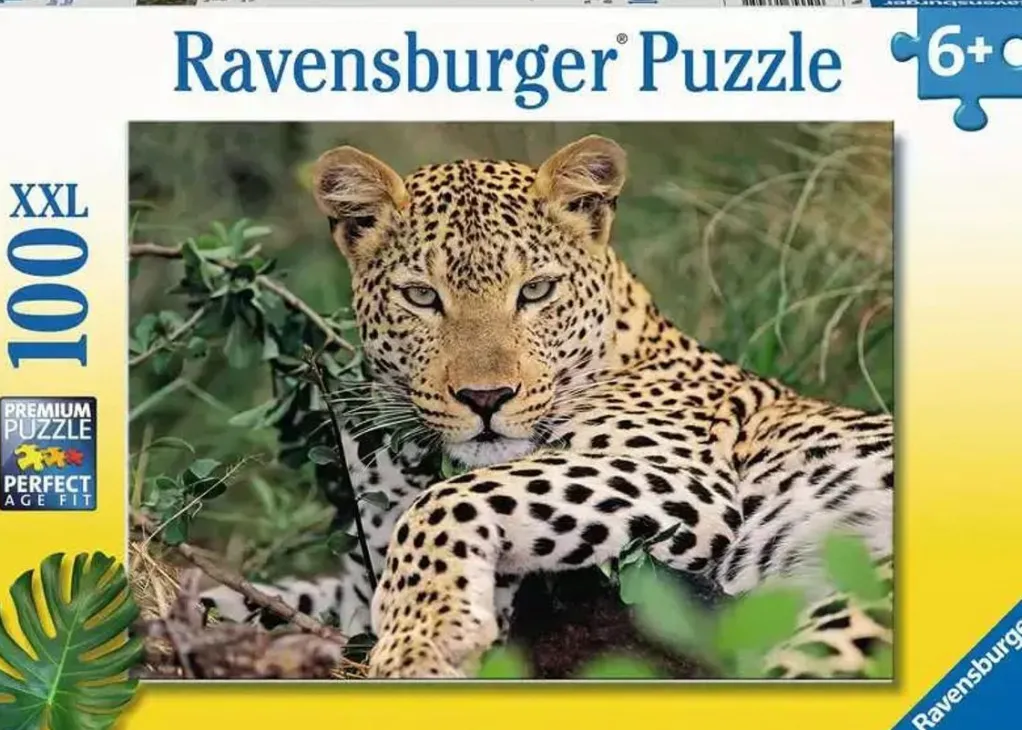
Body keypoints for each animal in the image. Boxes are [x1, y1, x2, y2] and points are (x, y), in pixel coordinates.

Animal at [200, 135, 893, 680]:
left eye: (535, 291)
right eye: (422, 297)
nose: (485, 398)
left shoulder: (683, 478)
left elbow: (449, 499)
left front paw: (423, 638)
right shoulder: (355, 580)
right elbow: (263, 595)